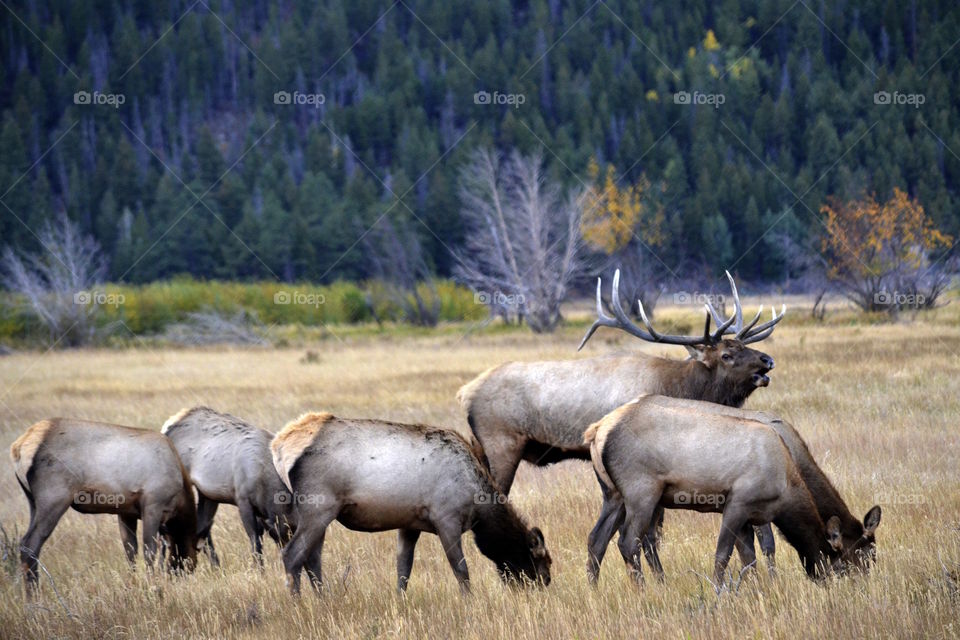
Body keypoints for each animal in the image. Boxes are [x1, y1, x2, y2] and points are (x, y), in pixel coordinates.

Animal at [10, 418, 198, 597]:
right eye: (190, 561)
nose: (177, 577)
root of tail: (19, 448)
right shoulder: (153, 505)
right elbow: (149, 551)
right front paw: (153, 586)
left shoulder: (126, 512)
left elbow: (131, 551)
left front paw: (133, 585)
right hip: (54, 498)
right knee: (30, 543)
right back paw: (34, 598)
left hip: (33, 501)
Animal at [161, 407, 295, 566]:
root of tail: (167, 428)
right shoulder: (243, 501)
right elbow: (255, 541)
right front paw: (259, 569)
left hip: (207, 495)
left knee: (201, 530)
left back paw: (216, 566)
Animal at [270, 412, 552, 595]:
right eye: (541, 562)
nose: (546, 584)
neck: (479, 503)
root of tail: (279, 445)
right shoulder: (446, 519)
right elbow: (461, 570)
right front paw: (469, 602)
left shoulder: (410, 524)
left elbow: (403, 570)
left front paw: (400, 600)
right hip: (318, 508)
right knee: (292, 555)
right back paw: (298, 606)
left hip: (318, 514)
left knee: (313, 559)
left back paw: (323, 600)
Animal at [458, 270, 785, 570]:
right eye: (727, 354)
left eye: (744, 346)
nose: (768, 361)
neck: (678, 386)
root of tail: (465, 393)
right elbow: (653, 532)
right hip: (502, 445)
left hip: (482, 448)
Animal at [584, 395, 881, 585]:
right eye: (862, 557)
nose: (863, 588)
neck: (789, 479)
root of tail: (597, 430)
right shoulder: (739, 503)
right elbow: (726, 555)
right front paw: (721, 592)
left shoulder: (750, 516)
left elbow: (748, 557)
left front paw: (757, 589)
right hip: (642, 492)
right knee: (629, 542)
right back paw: (645, 591)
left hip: (614, 495)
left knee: (597, 539)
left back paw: (594, 591)